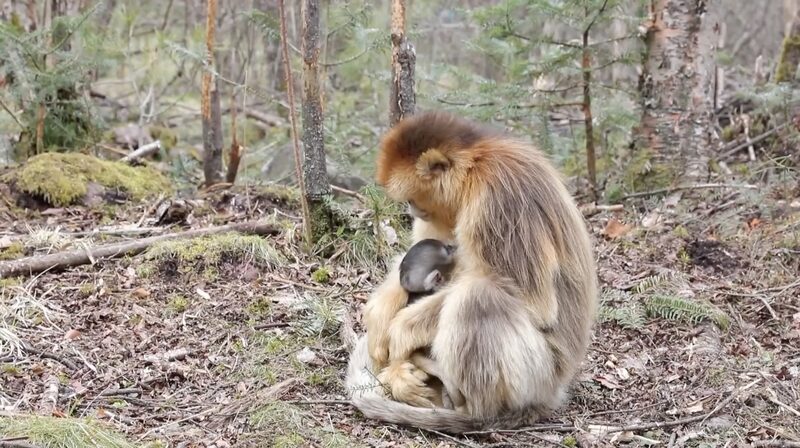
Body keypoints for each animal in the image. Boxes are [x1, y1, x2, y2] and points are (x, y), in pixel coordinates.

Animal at [346, 110, 598, 433]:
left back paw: (473, 411)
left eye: (412, 199)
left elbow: (535, 304)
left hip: (538, 375)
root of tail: (557, 386)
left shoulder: (499, 197)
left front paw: (401, 330)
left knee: (476, 296)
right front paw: (380, 317)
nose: (412, 211)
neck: (476, 168)